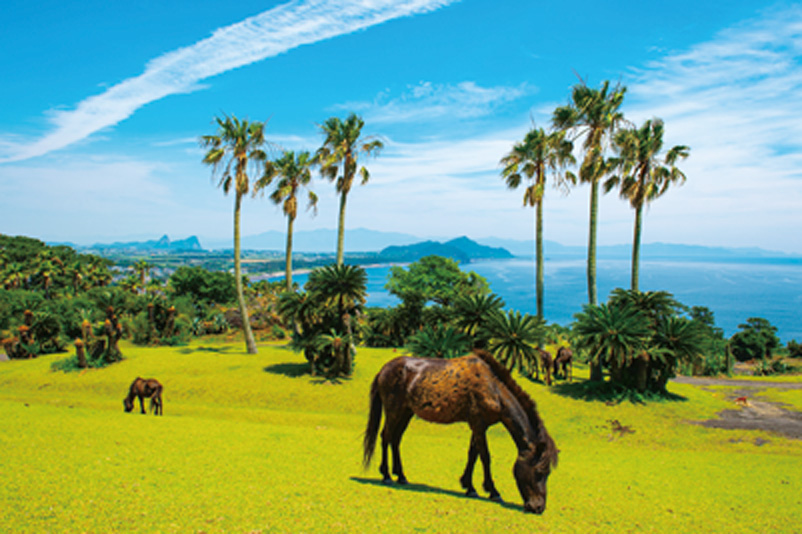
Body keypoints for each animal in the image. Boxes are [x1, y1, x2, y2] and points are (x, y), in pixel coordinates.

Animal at [362, 350, 556, 516]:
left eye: (547, 473)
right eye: (540, 471)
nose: (538, 507)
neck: (493, 388)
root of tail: (384, 370)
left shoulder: (479, 425)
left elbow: (473, 454)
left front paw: (468, 485)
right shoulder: (478, 424)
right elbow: (485, 456)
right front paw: (492, 491)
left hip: (405, 412)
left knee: (395, 439)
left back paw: (401, 476)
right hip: (394, 411)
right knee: (386, 437)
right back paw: (386, 475)